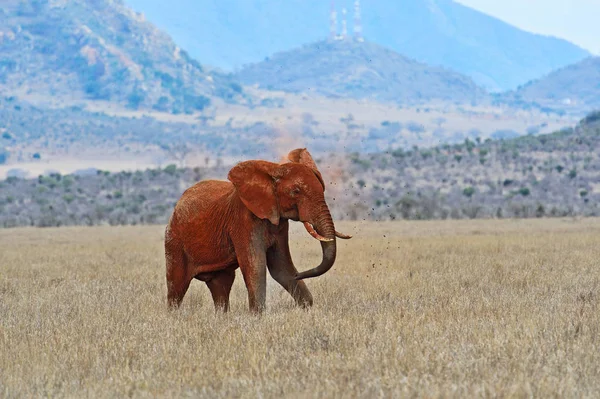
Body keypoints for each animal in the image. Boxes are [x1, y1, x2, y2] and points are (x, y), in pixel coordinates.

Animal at [164, 148, 352, 314]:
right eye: (296, 191)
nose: (300, 274)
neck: (274, 171)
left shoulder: (279, 222)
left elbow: (281, 268)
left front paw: (306, 309)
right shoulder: (243, 220)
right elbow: (256, 266)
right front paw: (257, 316)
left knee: (221, 286)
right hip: (174, 240)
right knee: (176, 287)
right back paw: (173, 317)